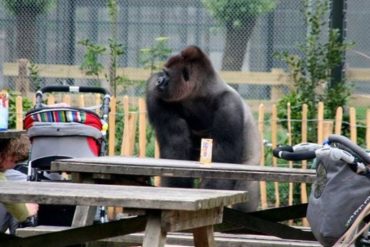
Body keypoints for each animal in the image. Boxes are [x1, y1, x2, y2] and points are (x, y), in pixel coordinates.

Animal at [145, 45, 260, 211]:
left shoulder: (229, 106)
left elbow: (221, 165)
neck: (200, 94)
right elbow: (175, 149)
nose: (159, 80)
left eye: (167, 74)